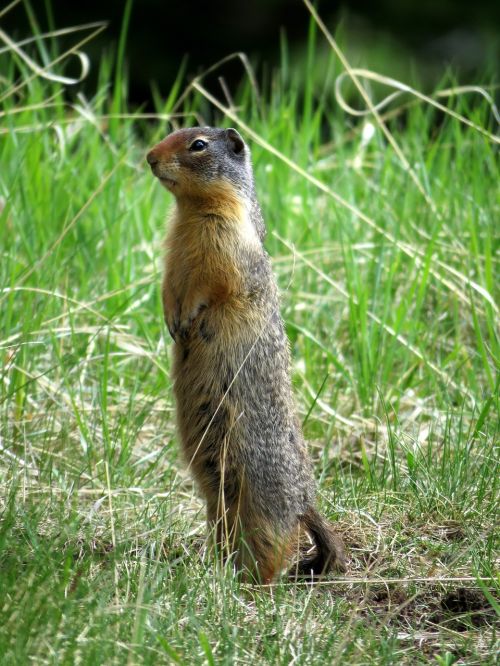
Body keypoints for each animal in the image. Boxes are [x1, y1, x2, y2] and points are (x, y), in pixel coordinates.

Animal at [146, 126, 346, 580]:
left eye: (198, 144)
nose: (148, 156)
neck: (191, 211)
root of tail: (306, 501)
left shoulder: (226, 242)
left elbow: (213, 283)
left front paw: (190, 320)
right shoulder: (172, 253)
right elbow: (169, 284)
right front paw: (171, 320)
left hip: (259, 503)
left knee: (271, 548)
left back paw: (247, 582)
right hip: (217, 499)